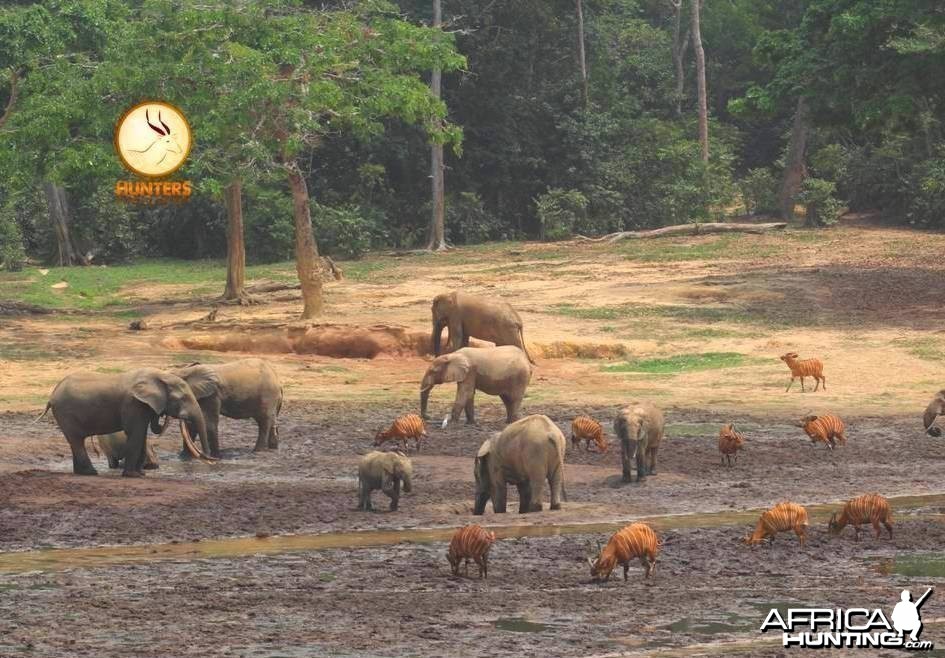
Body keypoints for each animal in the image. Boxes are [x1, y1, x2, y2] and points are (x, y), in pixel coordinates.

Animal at [40, 366, 212, 474]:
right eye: (182, 399)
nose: (212, 461)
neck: (161, 376)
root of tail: (52, 395)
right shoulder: (133, 403)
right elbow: (135, 433)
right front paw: (132, 475)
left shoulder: (143, 406)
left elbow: (142, 435)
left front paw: (140, 474)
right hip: (65, 413)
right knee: (76, 441)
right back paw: (91, 473)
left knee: (75, 442)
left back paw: (81, 473)